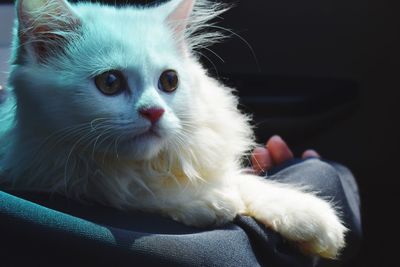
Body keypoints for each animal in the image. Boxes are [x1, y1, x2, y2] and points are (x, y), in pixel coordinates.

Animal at [0, 0, 346, 260]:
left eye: (169, 81)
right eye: (109, 83)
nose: (154, 112)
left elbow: (243, 181)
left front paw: (311, 218)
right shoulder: (43, 170)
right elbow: (130, 190)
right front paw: (210, 201)